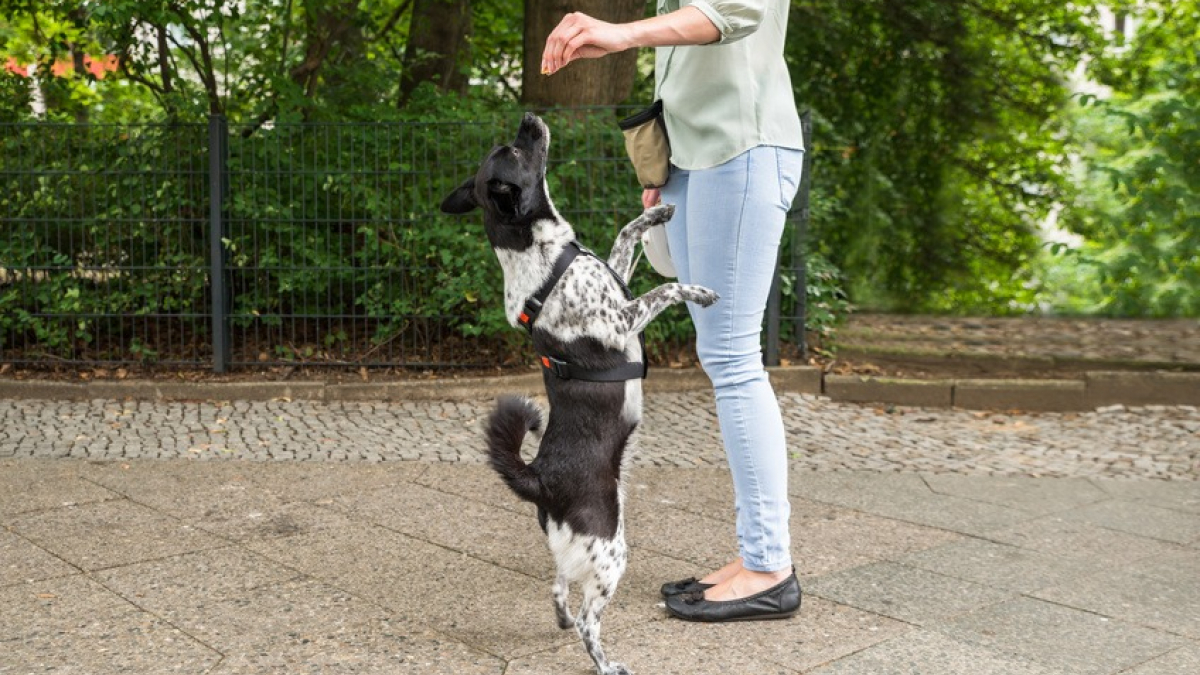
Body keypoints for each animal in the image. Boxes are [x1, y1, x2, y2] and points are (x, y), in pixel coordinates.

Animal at [446, 112, 715, 667]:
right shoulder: (622, 319)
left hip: (577, 552)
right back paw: (607, 664)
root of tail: (538, 478)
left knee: (558, 588)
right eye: (514, 150)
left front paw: (655, 214)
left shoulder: (617, 281)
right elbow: (666, 288)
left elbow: (624, 236)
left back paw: (562, 620)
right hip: (612, 550)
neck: (541, 258)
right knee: (590, 623)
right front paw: (699, 291)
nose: (530, 117)